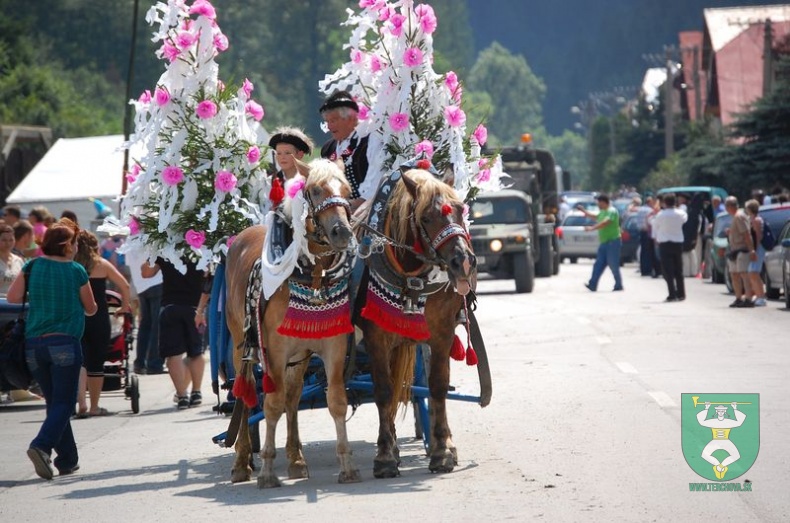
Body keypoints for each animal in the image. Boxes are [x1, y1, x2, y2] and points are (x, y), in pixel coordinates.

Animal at [226, 159, 362, 488]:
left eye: (347, 191)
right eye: (315, 190)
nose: (342, 232)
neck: (312, 275)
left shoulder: (333, 347)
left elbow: (335, 400)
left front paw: (347, 465)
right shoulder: (274, 352)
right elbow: (271, 405)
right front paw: (266, 471)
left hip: (299, 357)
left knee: (293, 396)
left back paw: (296, 459)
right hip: (241, 344)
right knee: (247, 392)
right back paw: (241, 463)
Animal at [358, 168, 480, 478]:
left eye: (460, 209)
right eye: (426, 218)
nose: (463, 262)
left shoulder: (441, 333)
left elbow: (437, 386)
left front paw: (441, 451)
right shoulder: (376, 338)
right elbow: (384, 391)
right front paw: (385, 456)